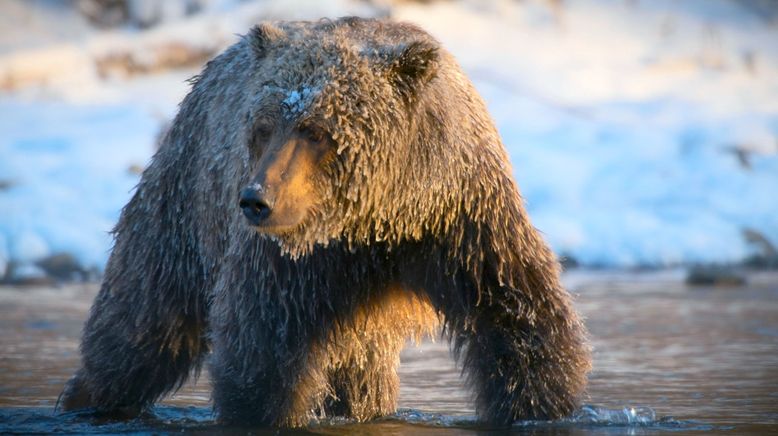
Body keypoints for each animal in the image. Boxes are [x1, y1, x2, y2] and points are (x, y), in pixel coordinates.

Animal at [60, 17, 592, 430]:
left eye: (316, 129)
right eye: (263, 127)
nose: (255, 200)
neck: (380, 216)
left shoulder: (462, 220)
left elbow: (516, 317)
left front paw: (540, 405)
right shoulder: (296, 257)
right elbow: (263, 346)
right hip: (185, 202)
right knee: (144, 314)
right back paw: (88, 396)